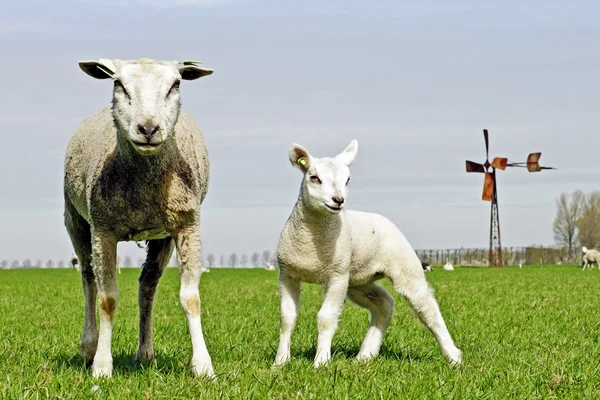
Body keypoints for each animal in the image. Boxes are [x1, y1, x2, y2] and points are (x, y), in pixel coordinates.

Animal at [64, 57, 214, 378]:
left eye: (175, 84)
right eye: (118, 84)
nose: (148, 128)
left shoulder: (187, 224)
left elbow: (191, 298)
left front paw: (203, 365)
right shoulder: (103, 229)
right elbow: (107, 299)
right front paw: (102, 366)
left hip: (162, 236)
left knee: (148, 284)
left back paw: (145, 354)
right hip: (76, 221)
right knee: (88, 278)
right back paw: (89, 347)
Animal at [274, 140, 462, 368]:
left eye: (347, 179)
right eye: (314, 178)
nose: (338, 200)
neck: (311, 243)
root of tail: (381, 218)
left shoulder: (337, 276)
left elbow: (326, 318)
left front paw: (321, 363)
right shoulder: (288, 274)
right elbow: (287, 319)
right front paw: (279, 363)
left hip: (404, 268)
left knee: (428, 309)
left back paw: (453, 356)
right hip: (357, 280)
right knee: (384, 304)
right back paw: (366, 355)